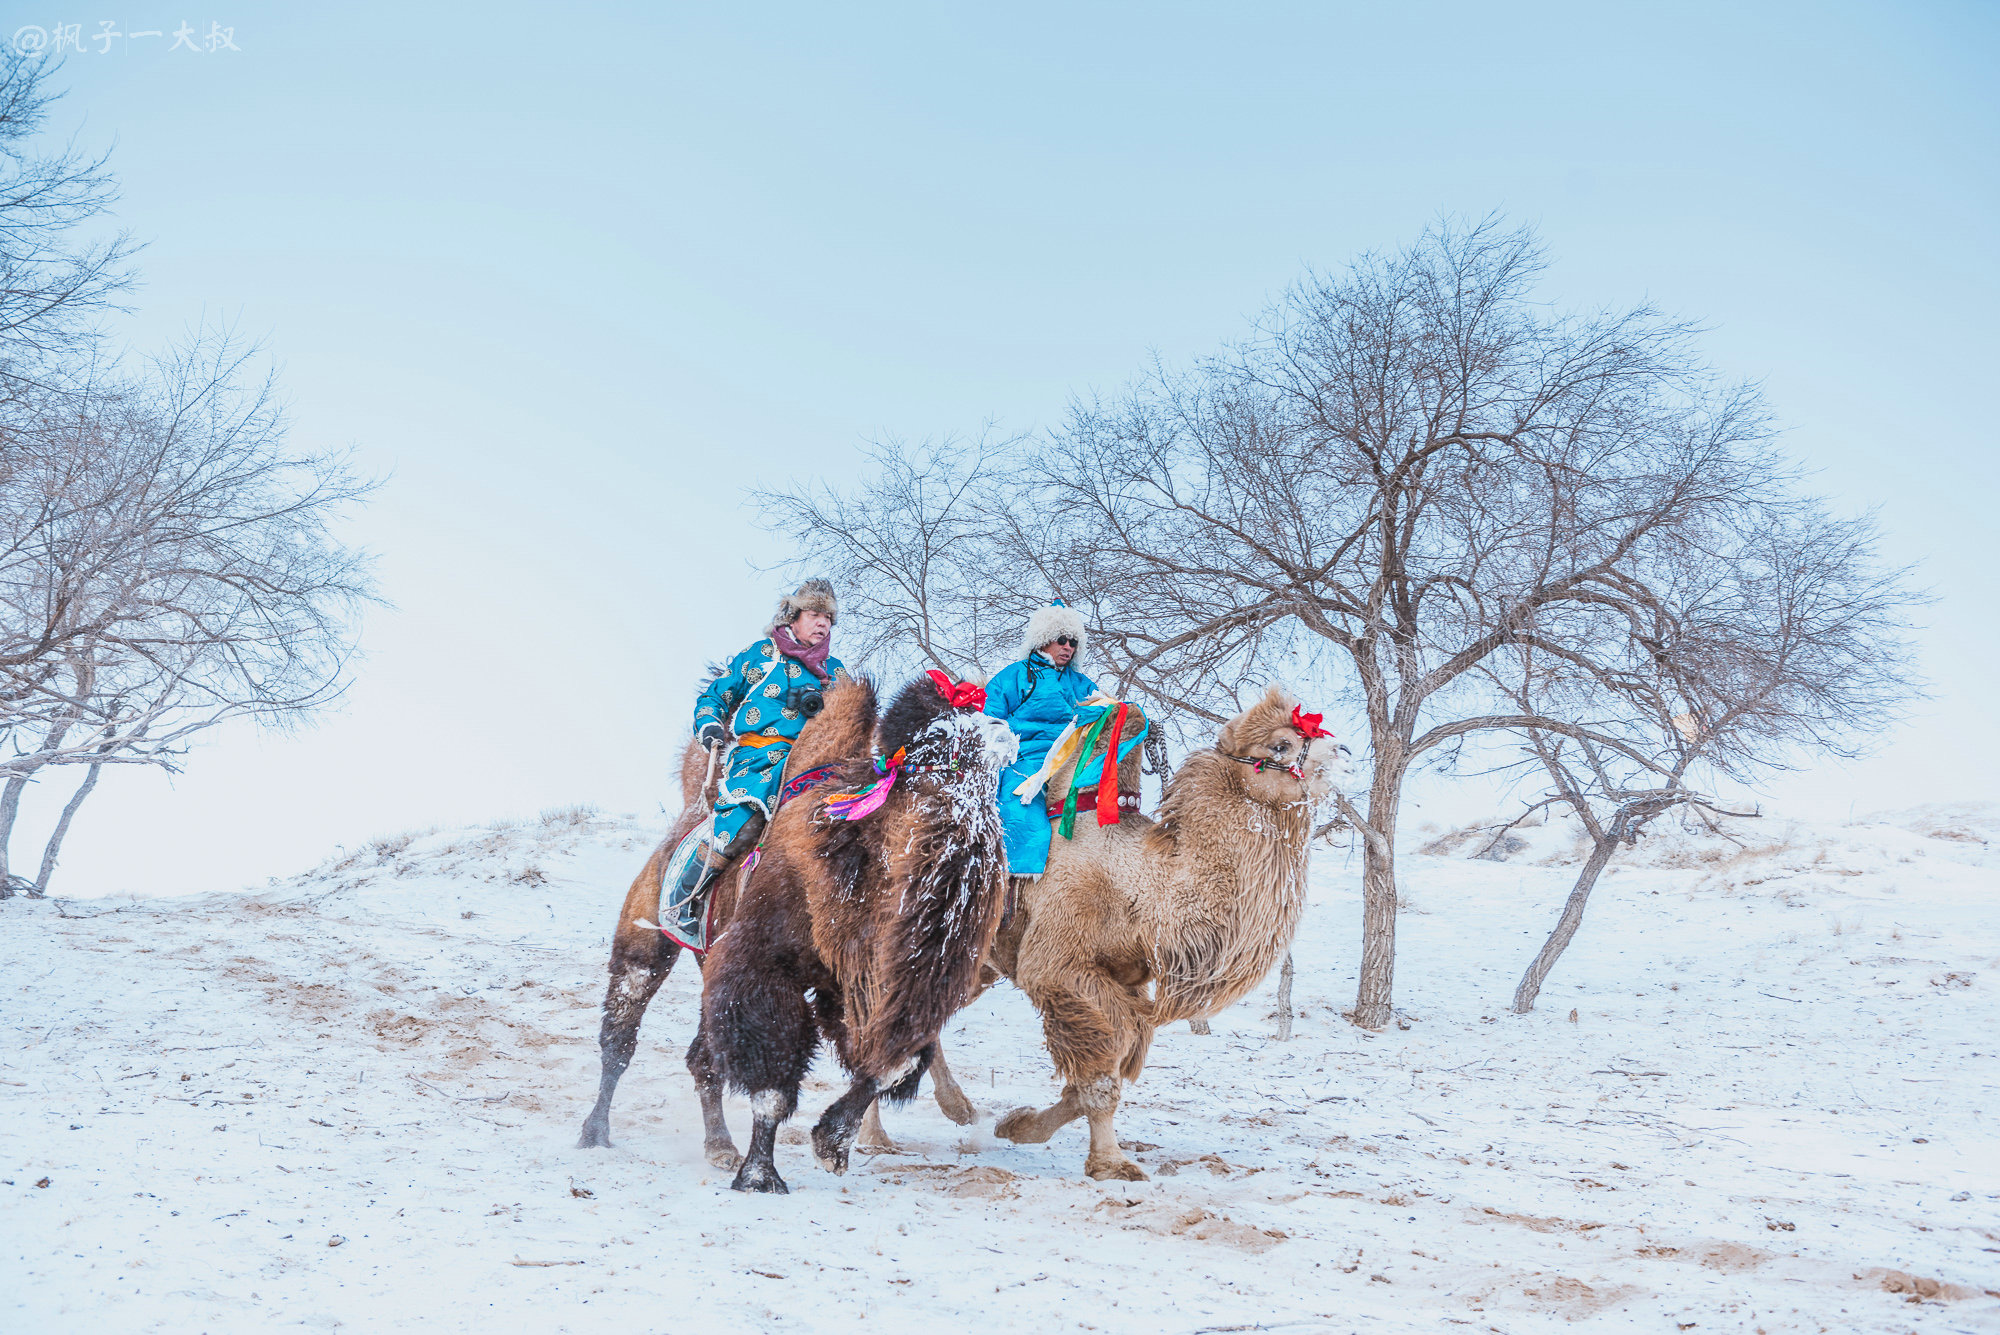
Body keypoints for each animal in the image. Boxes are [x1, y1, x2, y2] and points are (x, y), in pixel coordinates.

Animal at [576, 679, 980, 1159]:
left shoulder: (848, 986)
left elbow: (896, 1058)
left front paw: (835, 1139)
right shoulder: (766, 965)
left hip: (710, 959)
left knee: (700, 1056)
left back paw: (719, 1145)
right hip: (646, 942)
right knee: (621, 1036)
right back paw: (594, 1132)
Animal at [704, 671, 1016, 1191]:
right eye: (938, 738)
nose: (1005, 736)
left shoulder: (867, 985)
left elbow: (895, 1060)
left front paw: (832, 1143)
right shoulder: (764, 957)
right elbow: (770, 1074)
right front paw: (760, 1176)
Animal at [988, 687, 1336, 1175]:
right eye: (1281, 744)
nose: (1342, 753)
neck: (1142, 882)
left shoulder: (1128, 981)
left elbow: (1101, 1072)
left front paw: (1017, 1126)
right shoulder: (1059, 967)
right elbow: (1103, 1071)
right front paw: (1111, 1163)